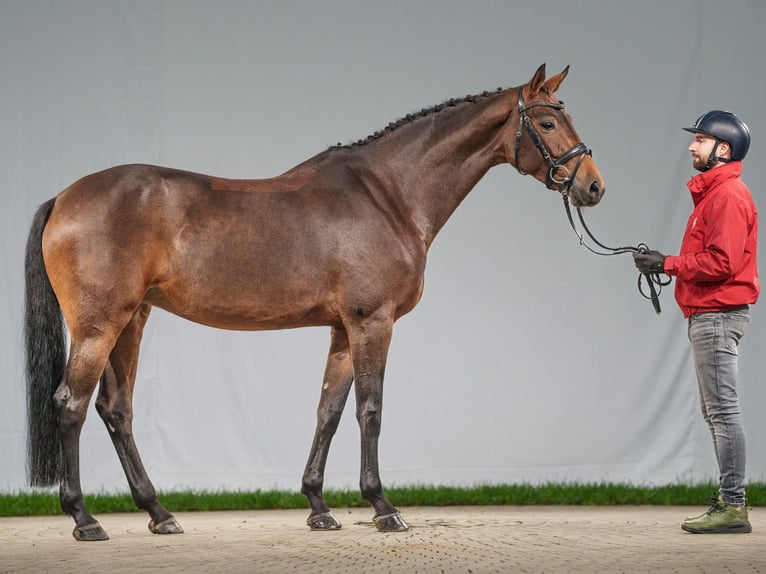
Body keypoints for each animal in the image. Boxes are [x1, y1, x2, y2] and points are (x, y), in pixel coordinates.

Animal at [22, 65, 608, 544]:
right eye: (548, 123)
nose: (594, 187)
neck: (387, 195)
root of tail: (64, 197)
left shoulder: (342, 329)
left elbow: (328, 410)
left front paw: (319, 507)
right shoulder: (373, 322)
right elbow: (370, 410)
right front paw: (383, 507)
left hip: (132, 321)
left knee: (115, 410)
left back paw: (159, 514)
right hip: (99, 326)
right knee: (71, 405)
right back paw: (85, 520)